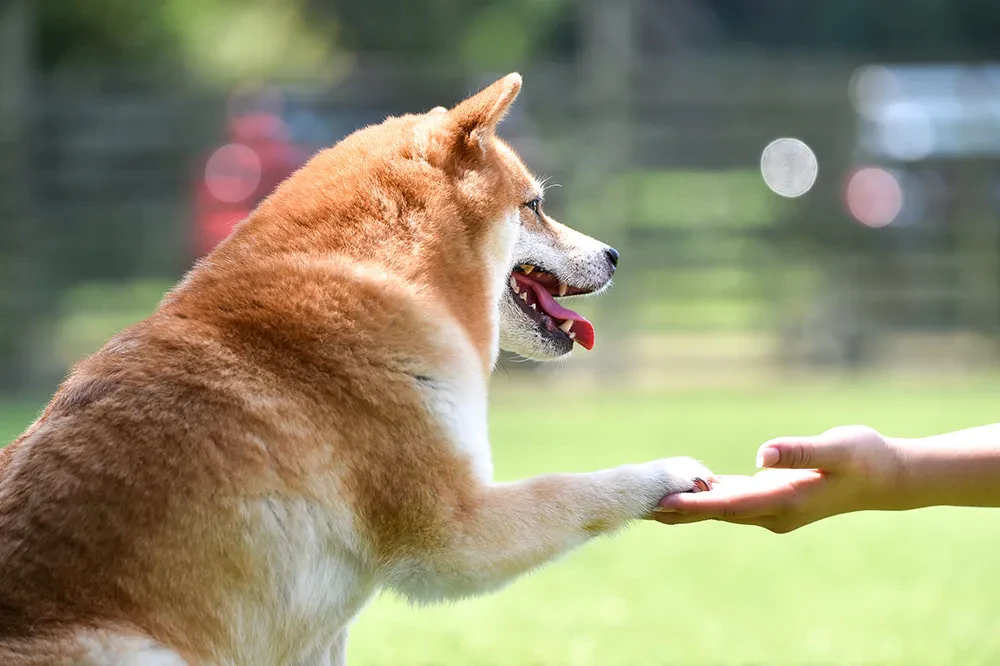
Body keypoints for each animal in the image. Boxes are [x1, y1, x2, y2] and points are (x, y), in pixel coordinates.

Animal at [0, 74, 712, 664]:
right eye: (534, 205)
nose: (614, 255)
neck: (385, 273)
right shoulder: (457, 529)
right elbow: (579, 488)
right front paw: (665, 471)